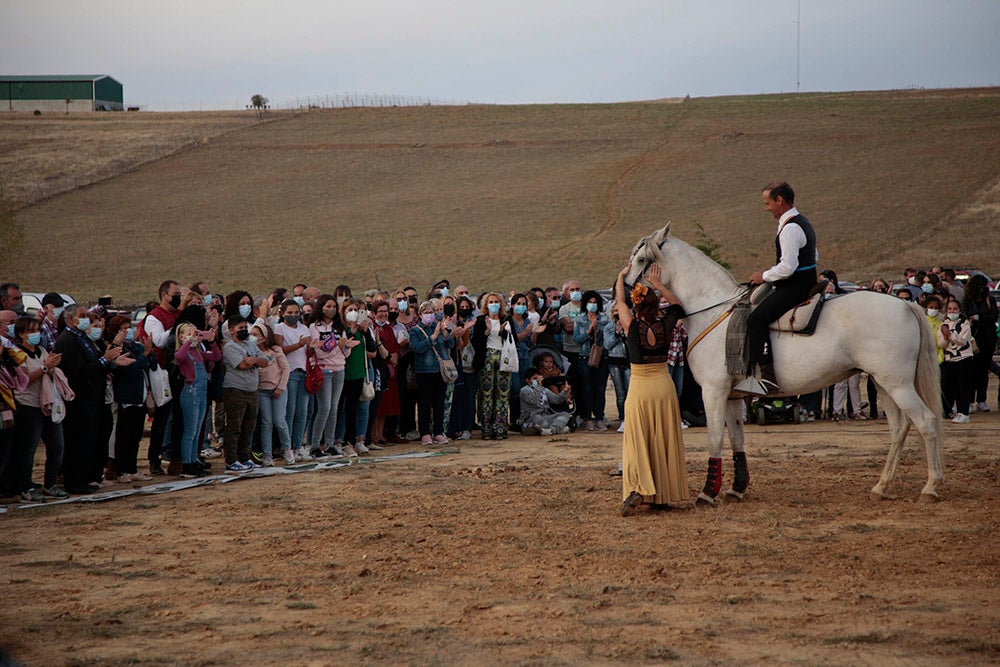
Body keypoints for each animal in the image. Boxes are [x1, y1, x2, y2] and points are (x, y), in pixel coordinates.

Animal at [624, 226, 944, 506]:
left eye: (640, 260)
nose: (626, 295)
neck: (715, 311)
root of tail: (905, 305)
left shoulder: (713, 392)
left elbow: (715, 439)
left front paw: (707, 493)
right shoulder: (732, 396)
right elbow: (737, 439)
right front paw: (737, 488)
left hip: (898, 385)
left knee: (927, 423)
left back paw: (931, 487)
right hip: (884, 384)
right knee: (899, 429)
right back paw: (882, 486)